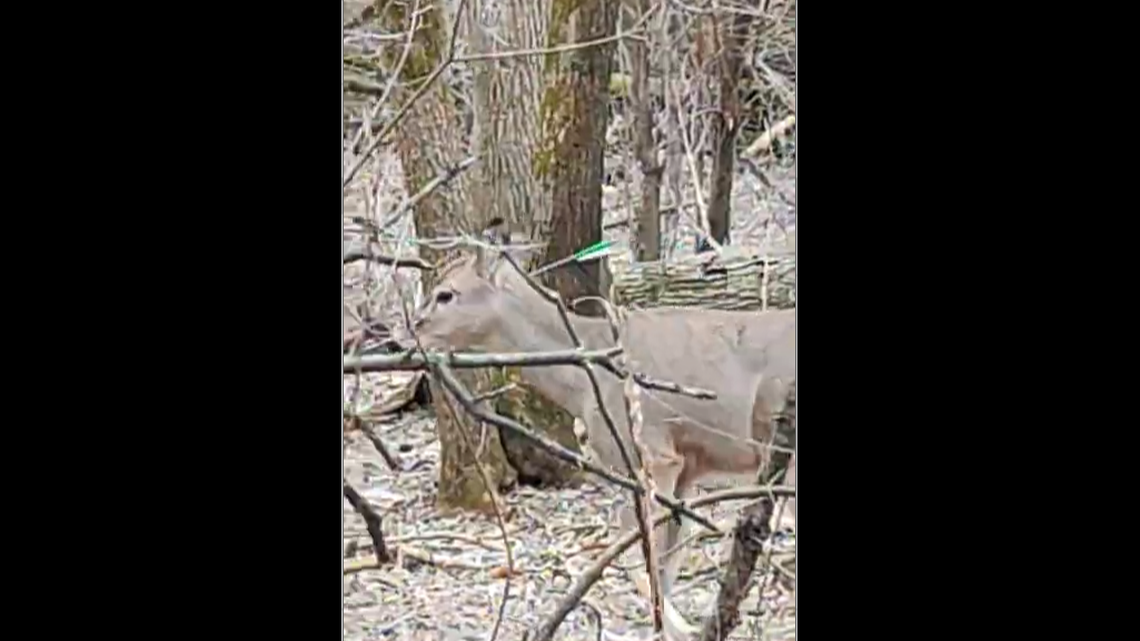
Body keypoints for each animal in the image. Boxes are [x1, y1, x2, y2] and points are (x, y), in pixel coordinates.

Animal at [394, 235, 795, 640]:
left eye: (446, 294)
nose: (407, 336)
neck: (583, 380)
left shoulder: (653, 452)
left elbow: (639, 553)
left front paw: (678, 625)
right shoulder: (688, 467)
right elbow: (668, 555)